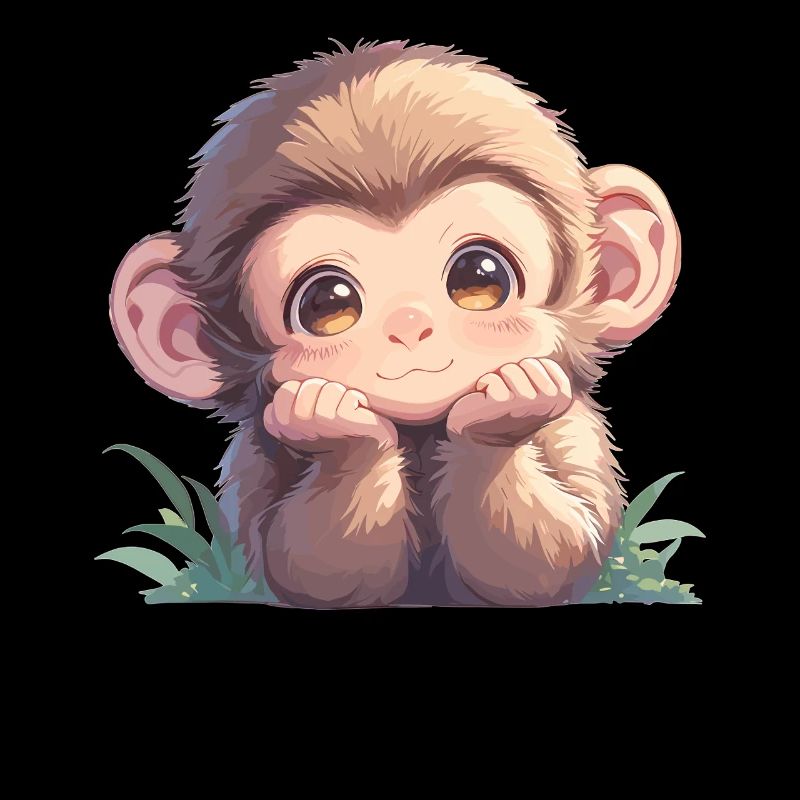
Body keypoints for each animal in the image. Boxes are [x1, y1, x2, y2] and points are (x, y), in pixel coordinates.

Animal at [109, 40, 680, 608]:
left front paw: (506, 404)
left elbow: (553, 558)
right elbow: (308, 570)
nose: (409, 323)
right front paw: (340, 429)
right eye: (326, 304)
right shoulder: (256, 463)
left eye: (480, 276)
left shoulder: (576, 431)